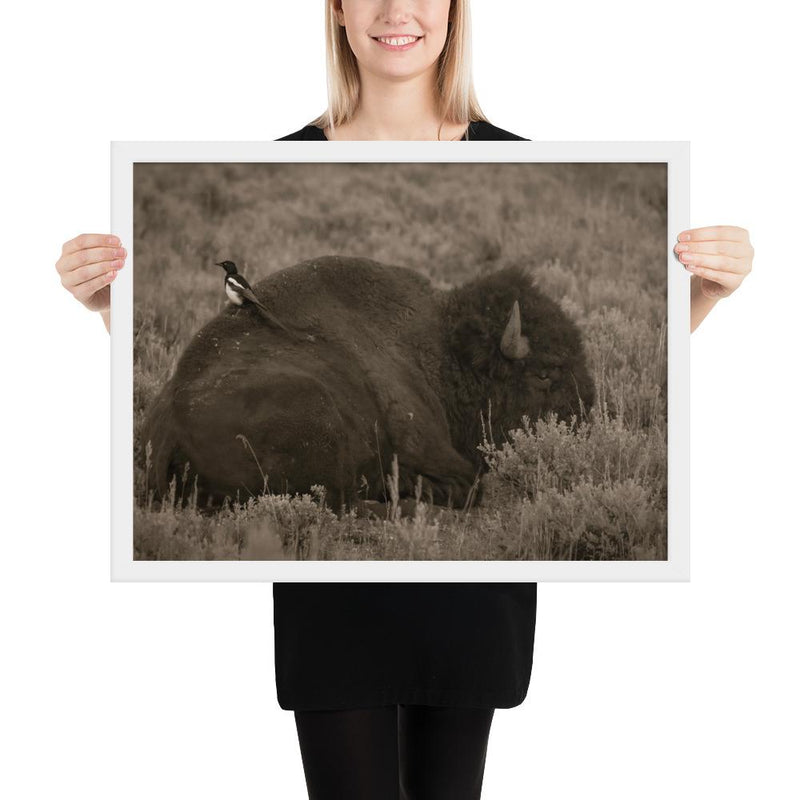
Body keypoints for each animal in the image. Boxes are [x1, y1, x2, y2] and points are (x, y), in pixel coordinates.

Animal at [141, 256, 594, 510]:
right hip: (320, 412)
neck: (442, 349)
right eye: (544, 374)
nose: (586, 419)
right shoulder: (433, 449)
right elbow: (469, 484)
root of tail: (166, 432)